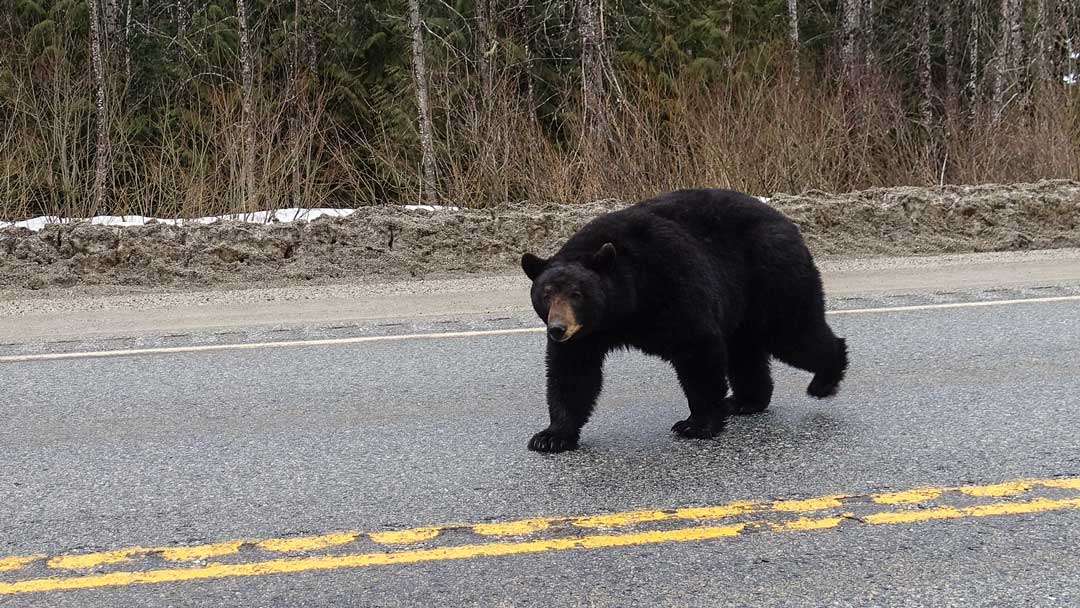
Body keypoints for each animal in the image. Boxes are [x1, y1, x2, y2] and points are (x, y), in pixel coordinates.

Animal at [520, 188, 848, 453]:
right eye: (546, 294)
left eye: (577, 294)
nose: (558, 329)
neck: (623, 305)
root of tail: (787, 223)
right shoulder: (586, 335)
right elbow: (572, 372)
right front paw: (551, 437)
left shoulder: (670, 283)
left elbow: (696, 347)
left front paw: (696, 424)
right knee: (744, 349)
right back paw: (746, 401)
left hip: (771, 276)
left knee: (794, 333)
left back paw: (824, 379)